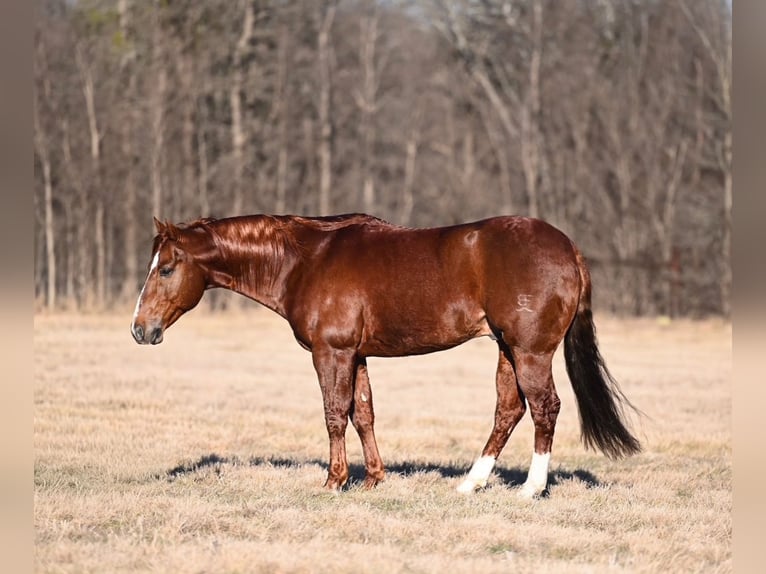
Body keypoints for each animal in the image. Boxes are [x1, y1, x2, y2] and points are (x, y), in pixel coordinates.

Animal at [131, 213, 640, 496]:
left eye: (167, 268)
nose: (140, 329)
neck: (304, 260)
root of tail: (568, 247)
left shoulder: (331, 352)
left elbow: (334, 413)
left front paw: (334, 481)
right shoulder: (356, 355)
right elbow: (363, 413)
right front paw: (374, 478)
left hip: (529, 351)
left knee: (544, 407)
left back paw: (532, 488)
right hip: (506, 349)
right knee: (508, 410)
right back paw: (471, 483)